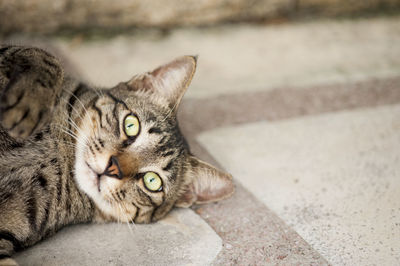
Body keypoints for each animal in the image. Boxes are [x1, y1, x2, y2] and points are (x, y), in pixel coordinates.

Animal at [0, 45, 234, 264]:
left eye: (152, 181)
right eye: (131, 125)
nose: (112, 168)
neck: (62, 156)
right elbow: (47, 58)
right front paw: (29, 100)